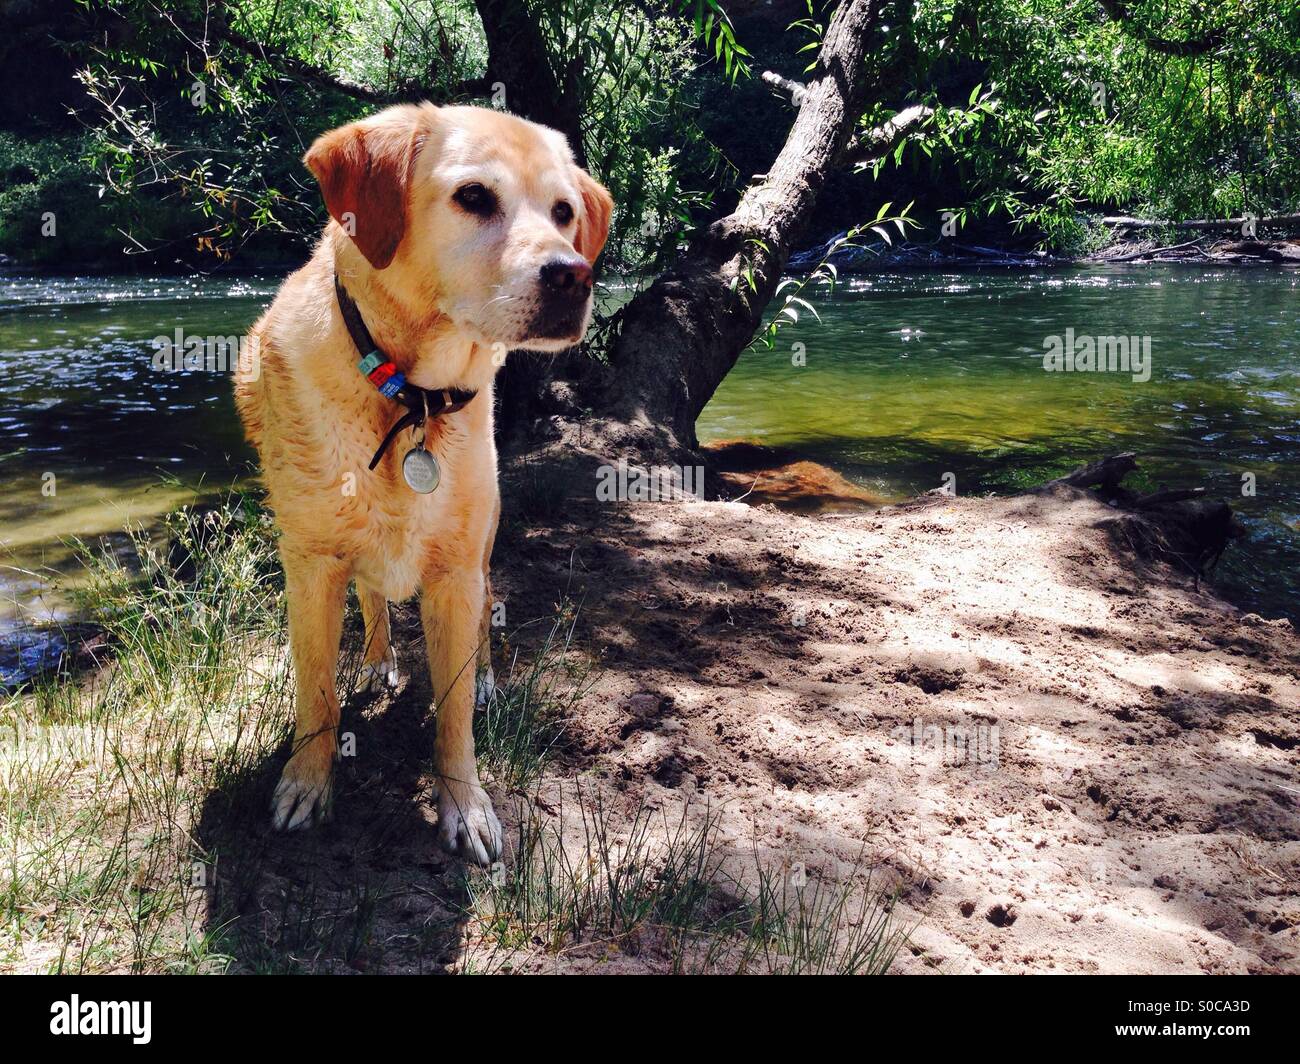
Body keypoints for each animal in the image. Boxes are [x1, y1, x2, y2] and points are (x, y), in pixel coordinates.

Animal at [235, 101, 613, 863]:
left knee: (488, 612)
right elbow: (317, 695)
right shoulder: (310, 564)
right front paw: (307, 783)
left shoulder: (456, 573)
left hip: (485, 546)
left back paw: (491, 679)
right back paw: (380, 660)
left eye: (563, 212)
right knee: (374, 600)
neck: (411, 397)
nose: (573, 275)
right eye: (474, 196)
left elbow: (454, 715)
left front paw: (464, 806)